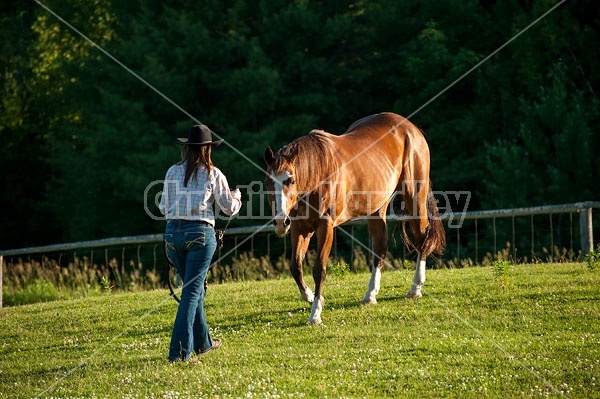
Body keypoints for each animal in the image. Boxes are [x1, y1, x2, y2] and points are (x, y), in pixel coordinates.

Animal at [264, 111, 446, 324]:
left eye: (291, 180)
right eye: (267, 182)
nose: (279, 221)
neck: (318, 172)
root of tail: (410, 128)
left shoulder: (325, 227)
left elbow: (319, 269)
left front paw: (315, 313)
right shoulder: (299, 227)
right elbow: (296, 266)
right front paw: (310, 297)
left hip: (415, 197)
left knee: (422, 239)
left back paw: (415, 288)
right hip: (377, 209)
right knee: (380, 249)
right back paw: (370, 295)